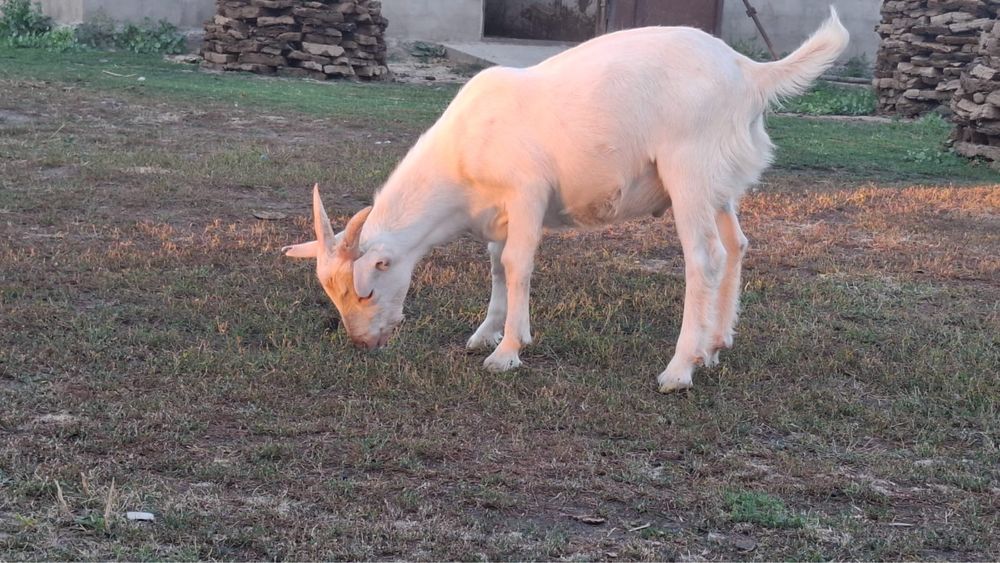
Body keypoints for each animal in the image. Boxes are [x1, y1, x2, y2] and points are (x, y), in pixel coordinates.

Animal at [283, 9, 849, 392]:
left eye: (366, 289)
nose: (364, 343)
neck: (462, 159)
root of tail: (748, 73)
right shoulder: (498, 211)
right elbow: (496, 265)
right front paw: (485, 333)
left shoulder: (527, 192)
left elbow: (518, 264)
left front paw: (508, 351)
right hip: (719, 180)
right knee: (736, 246)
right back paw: (714, 346)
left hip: (688, 168)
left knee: (704, 257)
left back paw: (680, 368)